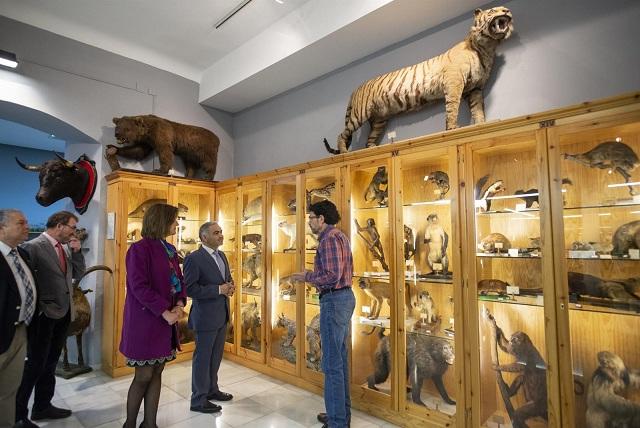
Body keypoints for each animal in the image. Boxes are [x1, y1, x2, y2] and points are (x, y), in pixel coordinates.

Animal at [322, 6, 512, 154]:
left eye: (504, 8)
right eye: (493, 10)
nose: (507, 10)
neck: (487, 48)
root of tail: (355, 89)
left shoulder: (475, 89)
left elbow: (478, 108)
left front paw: (481, 125)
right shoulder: (454, 82)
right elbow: (452, 107)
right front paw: (452, 128)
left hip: (380, 119)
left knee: (370, 138)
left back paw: (372, 148)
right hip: (360, 113)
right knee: (343, 133)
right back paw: (344, 152)